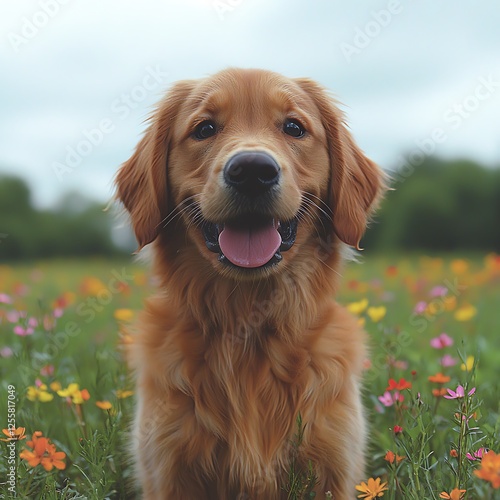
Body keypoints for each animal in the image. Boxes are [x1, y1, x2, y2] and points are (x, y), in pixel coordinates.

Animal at [115, 67, 384, 500]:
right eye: (205, 128)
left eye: (294, 127)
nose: (253, 170)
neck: (247, 327)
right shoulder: (169, 471)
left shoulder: (335, 468)